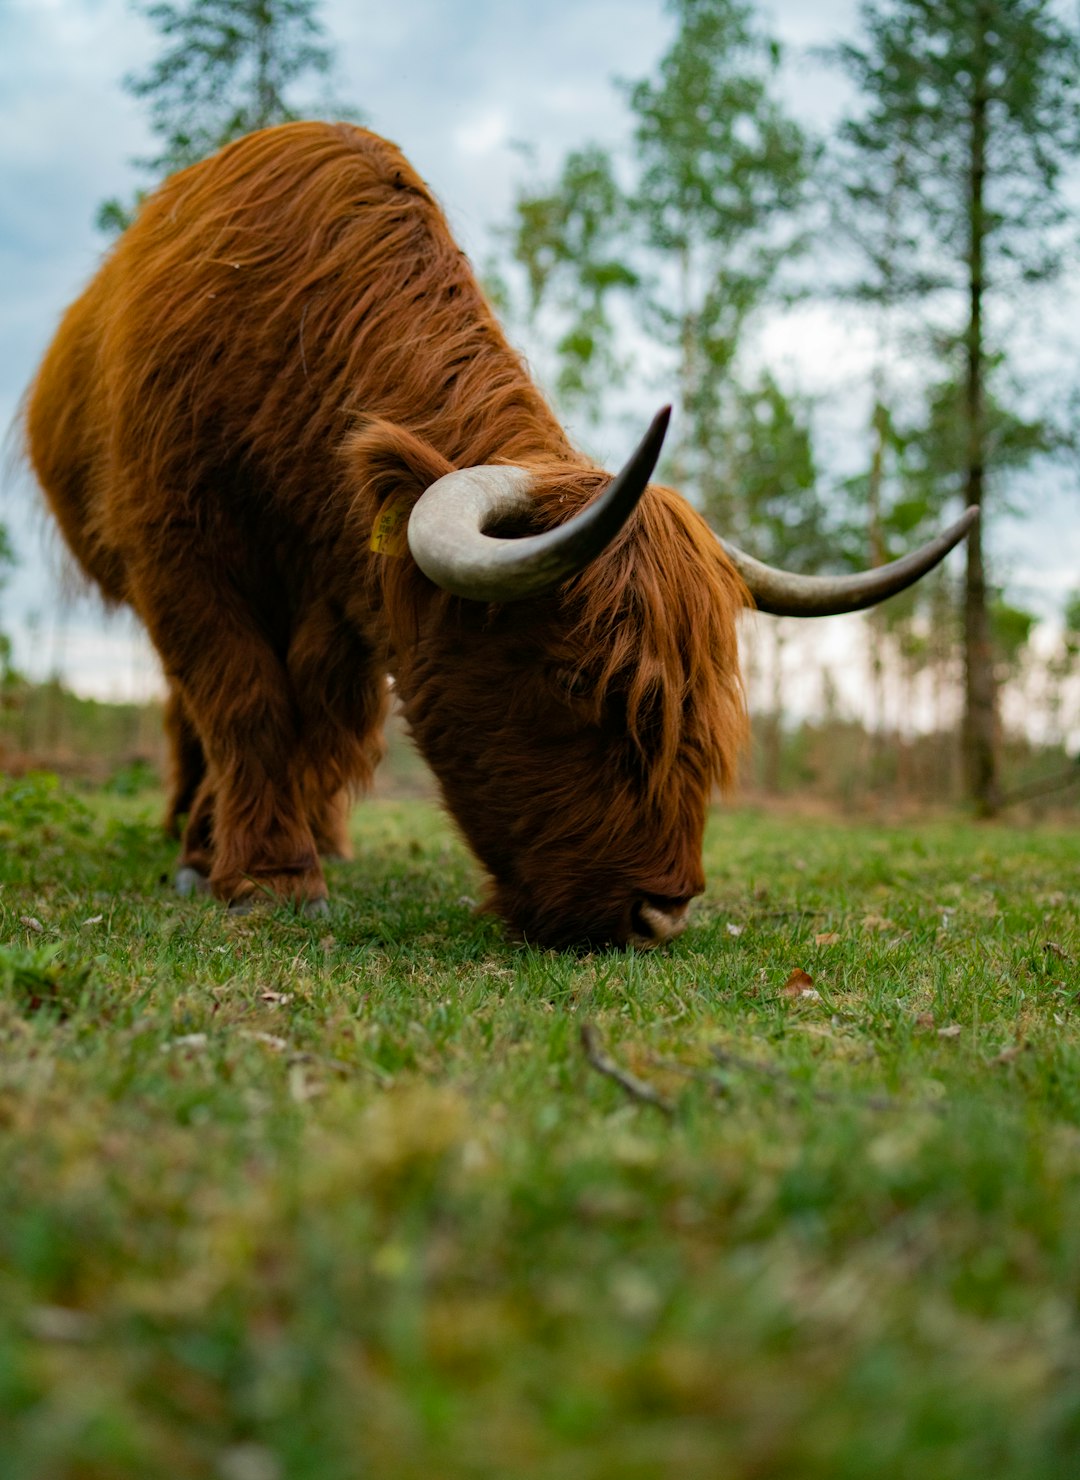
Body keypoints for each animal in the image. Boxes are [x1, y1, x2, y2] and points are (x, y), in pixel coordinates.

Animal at [25, 118, 970, 947]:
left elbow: (315, 715)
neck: (287, 345)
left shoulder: (338, 597)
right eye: (579, 681)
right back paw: (193, 838)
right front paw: (266, 876)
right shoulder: (178, 549)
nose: (662, 915)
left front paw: (287, 850)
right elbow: (243, 699)